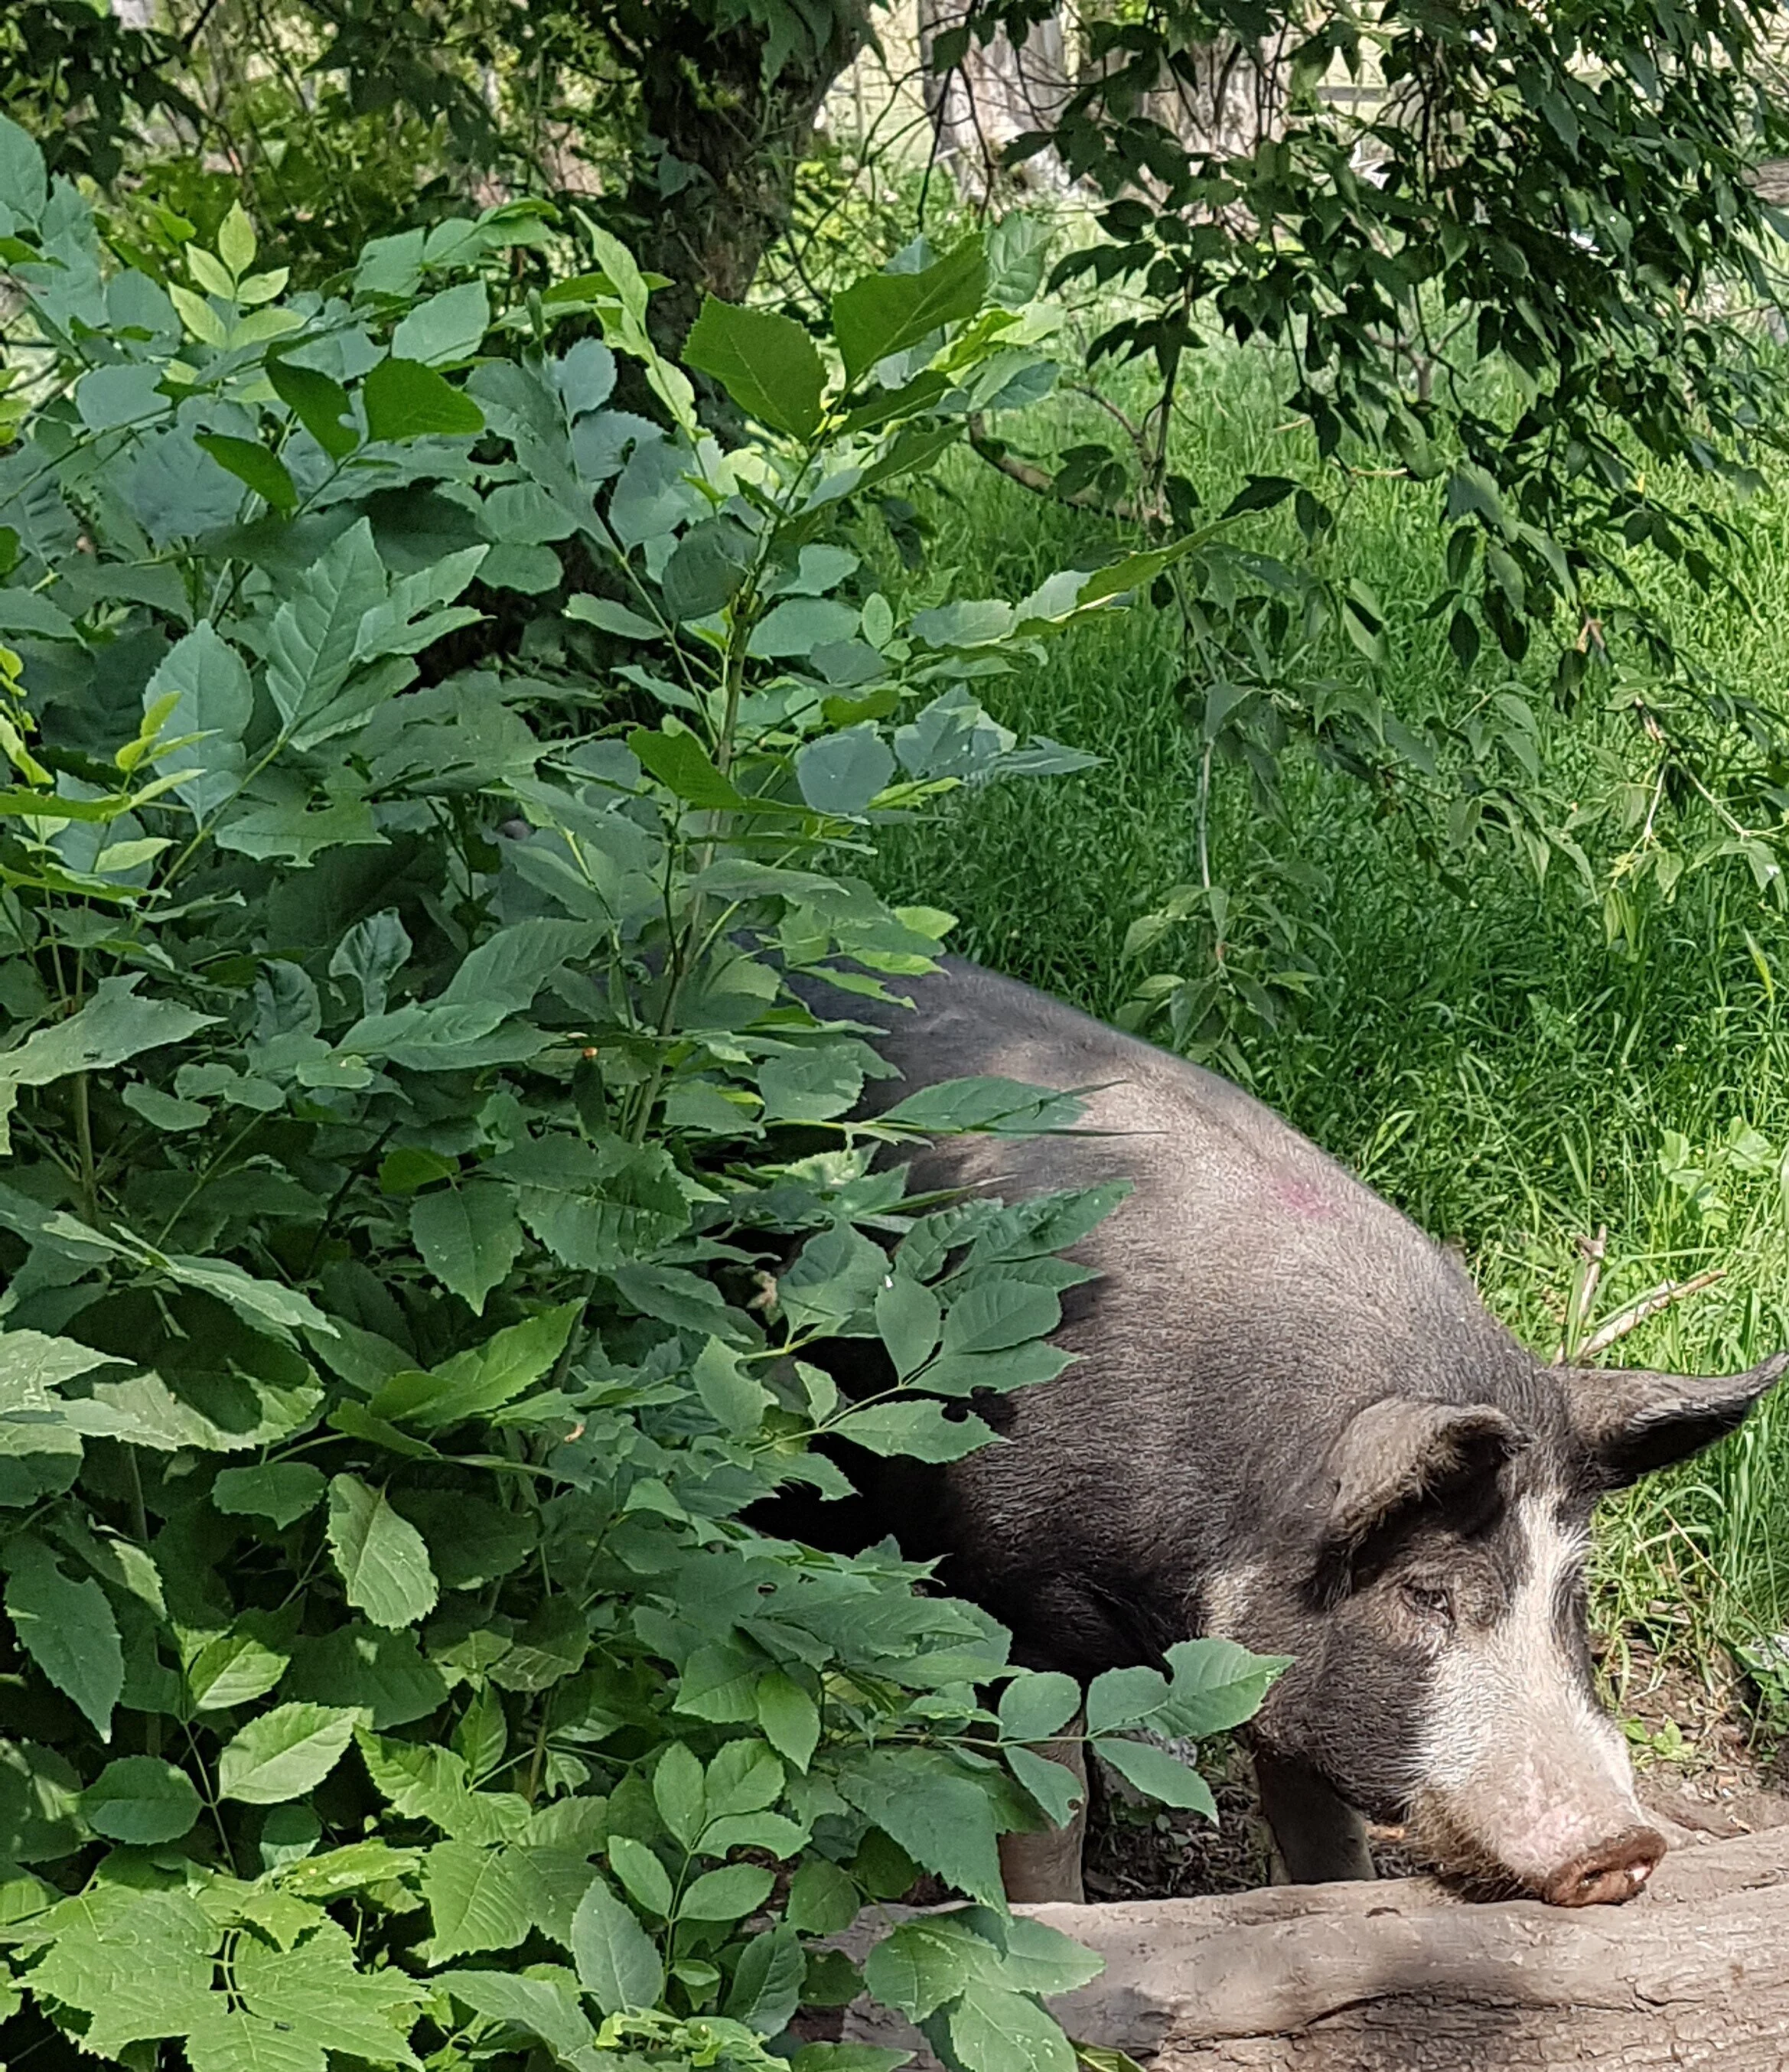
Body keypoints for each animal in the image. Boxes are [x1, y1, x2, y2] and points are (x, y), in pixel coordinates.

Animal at [793, 957, 1787, 1906]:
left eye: (1570, 1589)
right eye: (1426, 1592)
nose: (1626, 1846)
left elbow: (1321, 1831)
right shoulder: (1013, 1596)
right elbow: (1046, 1813)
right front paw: (1060, 1918)